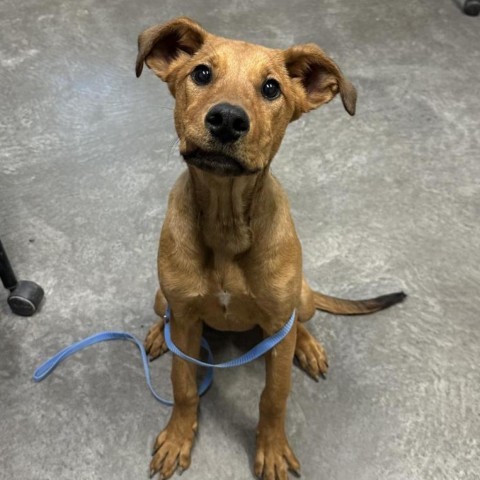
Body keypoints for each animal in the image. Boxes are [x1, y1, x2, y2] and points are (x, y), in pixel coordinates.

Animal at [136, 16, 404, 478]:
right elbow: (183, 384)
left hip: (301, 298)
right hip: (161, 298)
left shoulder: (278, 326)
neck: (226, 224)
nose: (227, 119)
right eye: (201, 73)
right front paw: (177, 438)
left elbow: (274, 397)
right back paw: (157, 333)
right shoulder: (186, 322)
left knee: (300, 321)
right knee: (164, 314)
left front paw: (273, 449)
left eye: (271, 88)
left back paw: (307, 347)